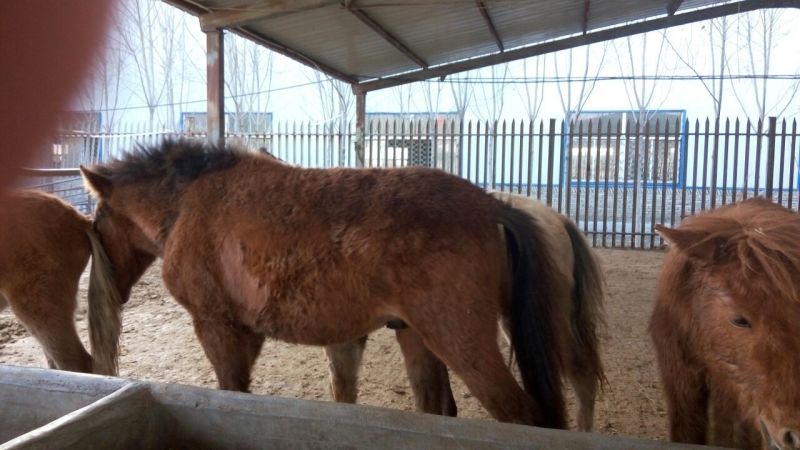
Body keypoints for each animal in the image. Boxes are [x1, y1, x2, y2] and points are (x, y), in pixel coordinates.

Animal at [80, 139, 568, 427]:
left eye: (98, 219)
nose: (113, 292)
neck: (188, 203)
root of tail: (490, 206)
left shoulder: (218, 328)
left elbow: (233, 393)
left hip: (460, 341)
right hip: (418, 337)